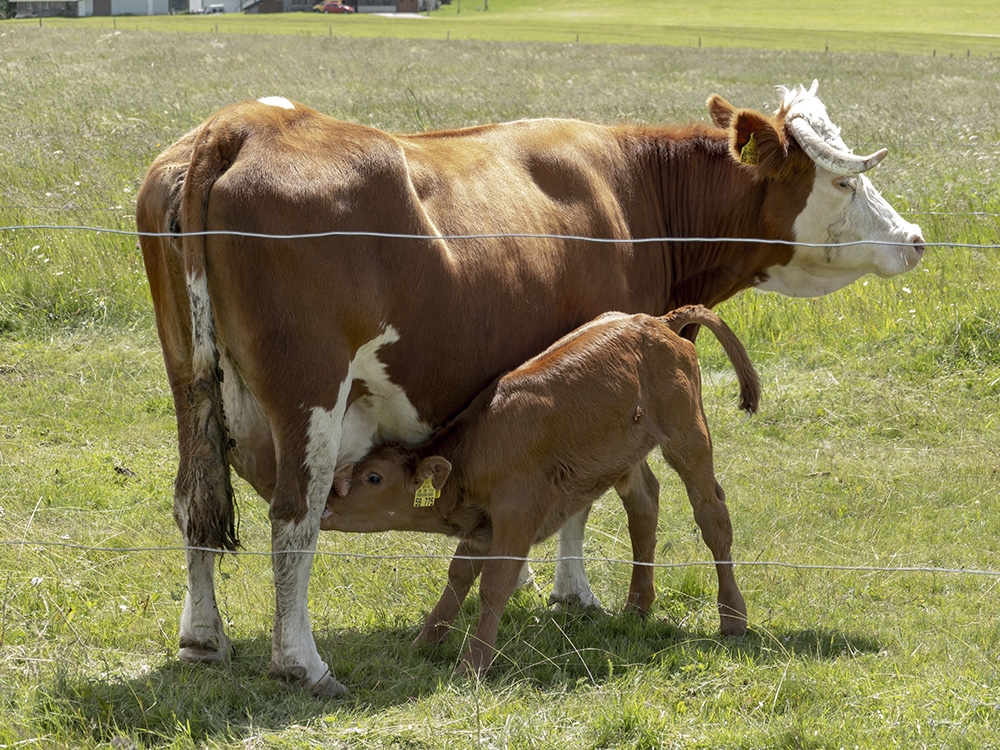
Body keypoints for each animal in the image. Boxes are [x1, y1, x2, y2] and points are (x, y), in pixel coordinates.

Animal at [320, 304, 756, 676]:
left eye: (374, 477)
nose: (326, 503)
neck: (477, 447)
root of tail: (654, 320)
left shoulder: (518, 514)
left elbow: (494, 585)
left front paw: (473, 665)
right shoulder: (482, 524)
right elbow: (458, 577)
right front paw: (426, 641)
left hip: (688, 436)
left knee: (712, 514)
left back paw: (733, 617)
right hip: (626, 452)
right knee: (644, 507)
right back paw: (637, 606)